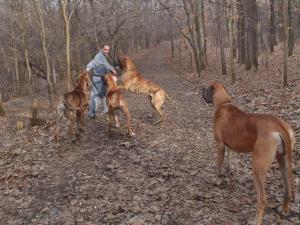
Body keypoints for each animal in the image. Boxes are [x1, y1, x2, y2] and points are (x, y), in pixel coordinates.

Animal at [202, 81, 296, 225]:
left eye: (206, 88)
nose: (201, 89)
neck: (223, 103)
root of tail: (279, 125)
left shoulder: (220, 145)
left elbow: (219, 165)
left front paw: (217, 179)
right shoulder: (229, 145)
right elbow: (230, 156)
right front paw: (229, 170)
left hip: (258, 167)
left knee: (262, 200)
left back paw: (255, 221)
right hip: (283, 161)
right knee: (287, 190)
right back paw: (284, 210)